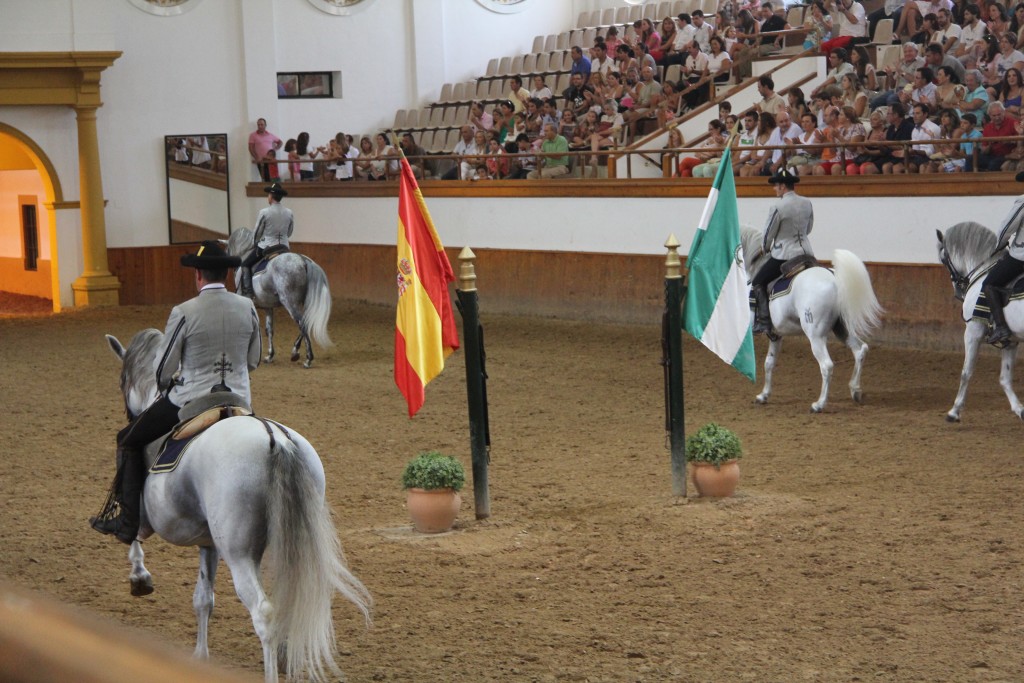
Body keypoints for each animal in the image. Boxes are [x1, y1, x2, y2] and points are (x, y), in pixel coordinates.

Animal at [102, 327, 372, 679]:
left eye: (123, 380)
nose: (129, 411)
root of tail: (275, 439)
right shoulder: (209, 544)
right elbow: (203, 598)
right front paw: (200, 656)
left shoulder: (148, 518)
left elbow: (133, 535)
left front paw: (140, 577)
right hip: (285, 542)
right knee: (291, 595)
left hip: (240, 553)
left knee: (264, 612)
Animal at [227, 228, 331, 368]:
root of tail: (303, 260)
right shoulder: (268, 307)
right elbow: (269, 330)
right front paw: (270, 355)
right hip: (304, 302)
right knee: (306, 321)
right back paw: (295, 351)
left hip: (289, 302)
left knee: (302, 323)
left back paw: (308, 358)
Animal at [741, 228, 884, 411]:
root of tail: (835, 280)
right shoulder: (775, 335)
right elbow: (769, 363)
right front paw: (763, 395)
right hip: (841, 329)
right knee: (860, 350)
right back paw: (855, 390)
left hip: (816, 336)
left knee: (827, 366)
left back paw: (819, 404)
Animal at [937, 222, 1024, 421]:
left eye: (944, 260)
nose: (958, 293)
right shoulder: (1011, 340)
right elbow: (1005, 378)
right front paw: (1019, 409)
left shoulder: (972, 332)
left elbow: (966, 372)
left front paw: (954, 411)